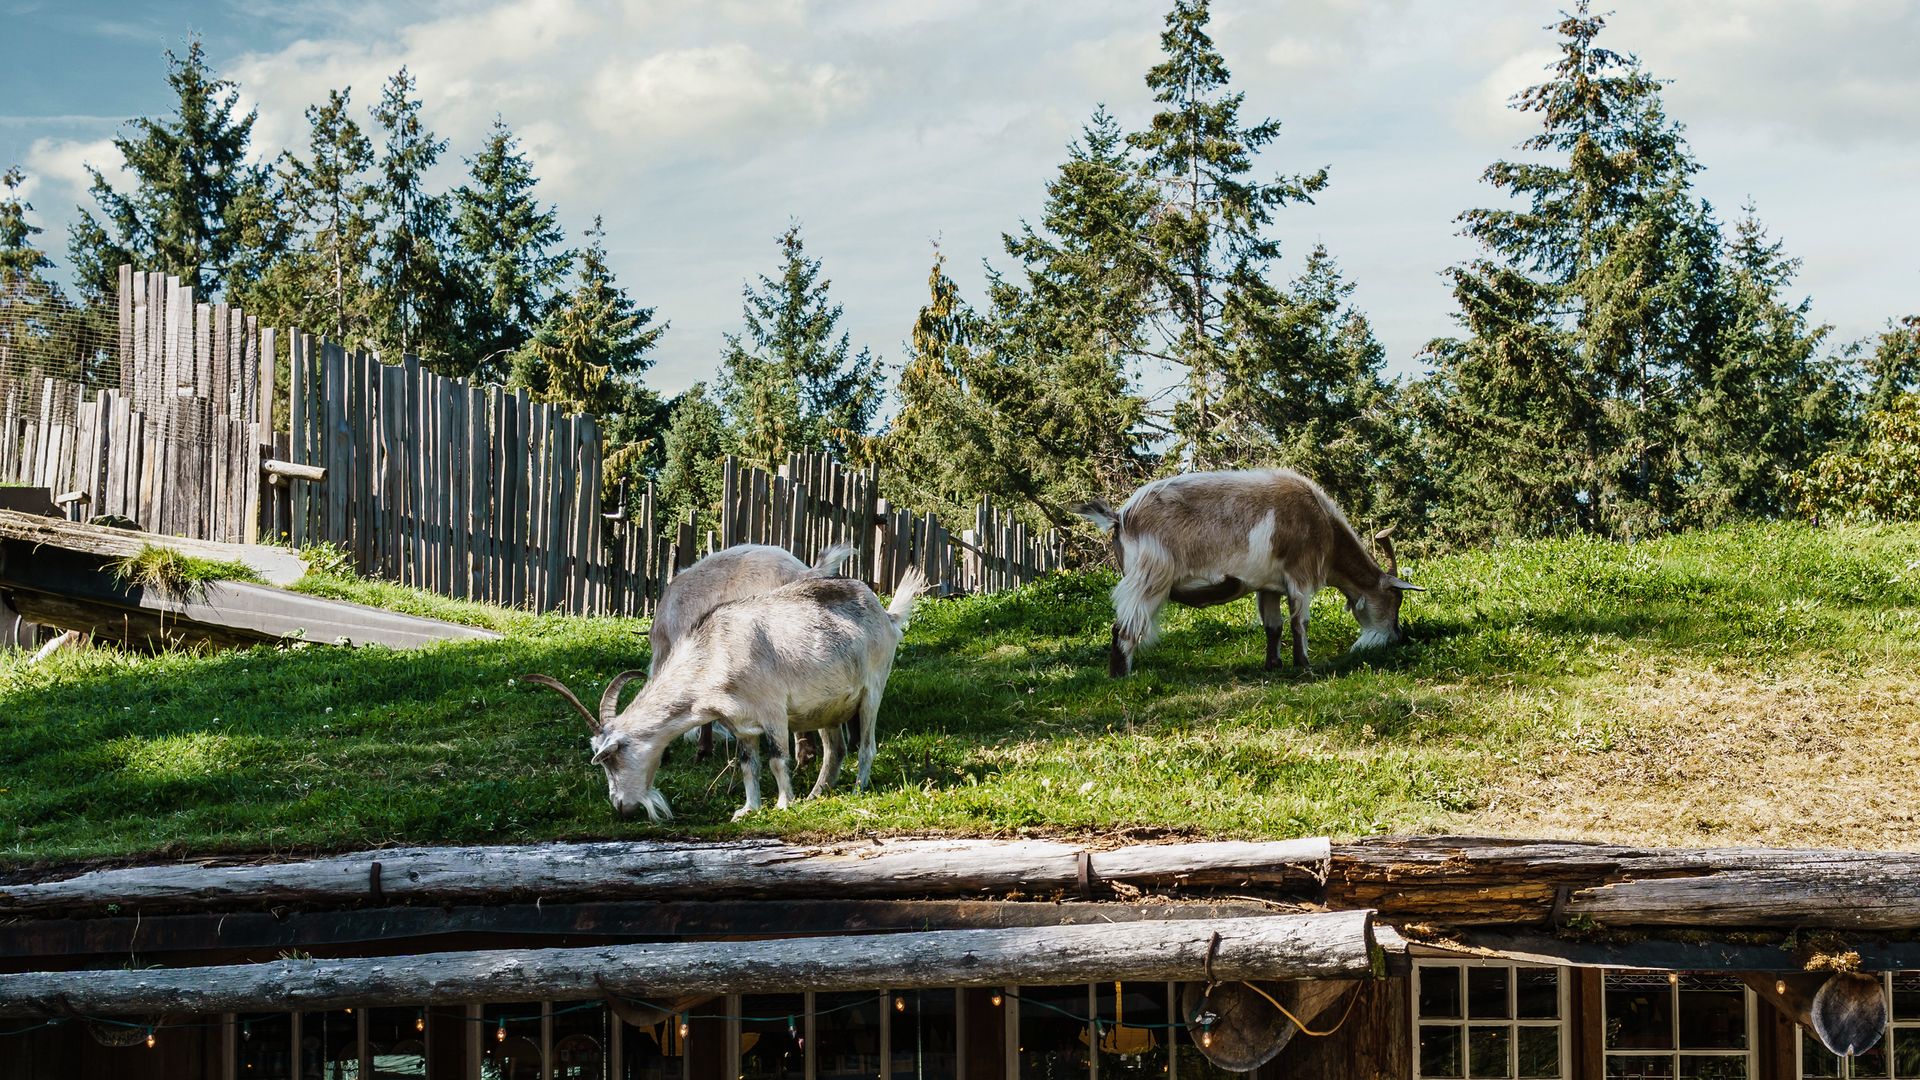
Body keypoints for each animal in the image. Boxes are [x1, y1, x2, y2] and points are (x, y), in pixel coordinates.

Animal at [526, 569, 926, 821]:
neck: (716, 651)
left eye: (609, 758)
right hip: (827, 707)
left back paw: (858, 789)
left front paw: (783, 805)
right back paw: (817, 794)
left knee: (866, 745)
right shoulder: (740, 723)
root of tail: (886, 615)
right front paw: (748, 810)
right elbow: (747, 765)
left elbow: (777, 760)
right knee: (835, 750)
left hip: (872, 689)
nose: (621, 806)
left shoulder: (772, 711)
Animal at [1076, 468, 1421, 676]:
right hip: (1148, 579)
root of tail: (1120, 517)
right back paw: (1122, 676)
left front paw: (1273, 665)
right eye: (1395, 601)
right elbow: (1299, 623)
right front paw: (1304, 666)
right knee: (1124, 629)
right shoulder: (1300, 577)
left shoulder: (1268, 586)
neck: (1324, 525)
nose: (1397, 636)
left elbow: (1274, 626)